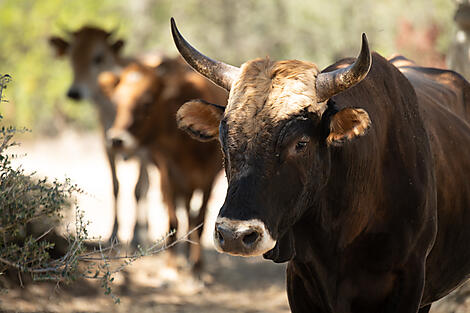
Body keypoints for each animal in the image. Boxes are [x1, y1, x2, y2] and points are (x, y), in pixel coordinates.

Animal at [49, 26, 160, 246]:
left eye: (98, 57)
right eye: (71, 56)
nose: (74, 92)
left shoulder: (143, 151)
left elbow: (137, 189)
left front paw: (136, 235)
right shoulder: (107, 146)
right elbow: (116, 187)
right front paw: (114, 234)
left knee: (145, 187)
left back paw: (144, 230)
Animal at [99, 57, 228, 272]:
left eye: (147, 102)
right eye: (116, 101)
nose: (117, 139)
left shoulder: (208, 179)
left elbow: (200, 220)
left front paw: (197, 267)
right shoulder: (168, 175)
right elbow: (173, 220)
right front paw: (171, 265)